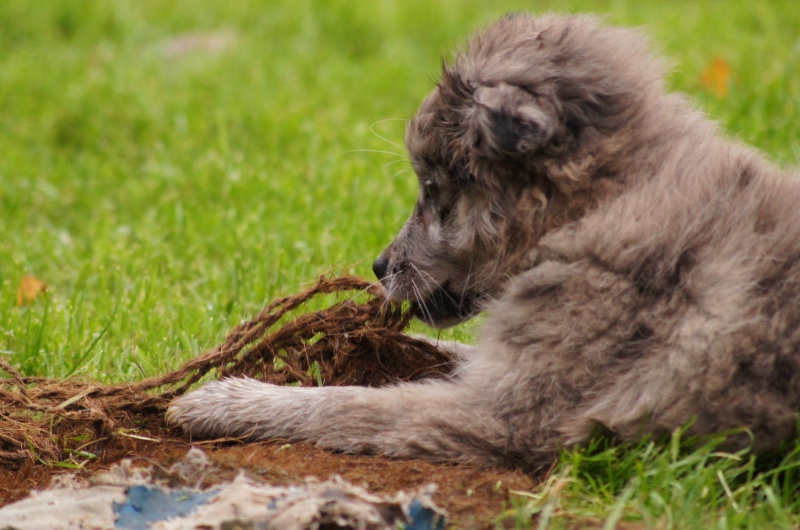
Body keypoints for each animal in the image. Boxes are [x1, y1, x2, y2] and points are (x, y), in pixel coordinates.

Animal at [169, 13, 800, 470]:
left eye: (430, 189)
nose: (378, 267)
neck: (601, 205)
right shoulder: (499, 367)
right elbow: (443, 352)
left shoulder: (500, 413)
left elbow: (348, 405)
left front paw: (227, 399)